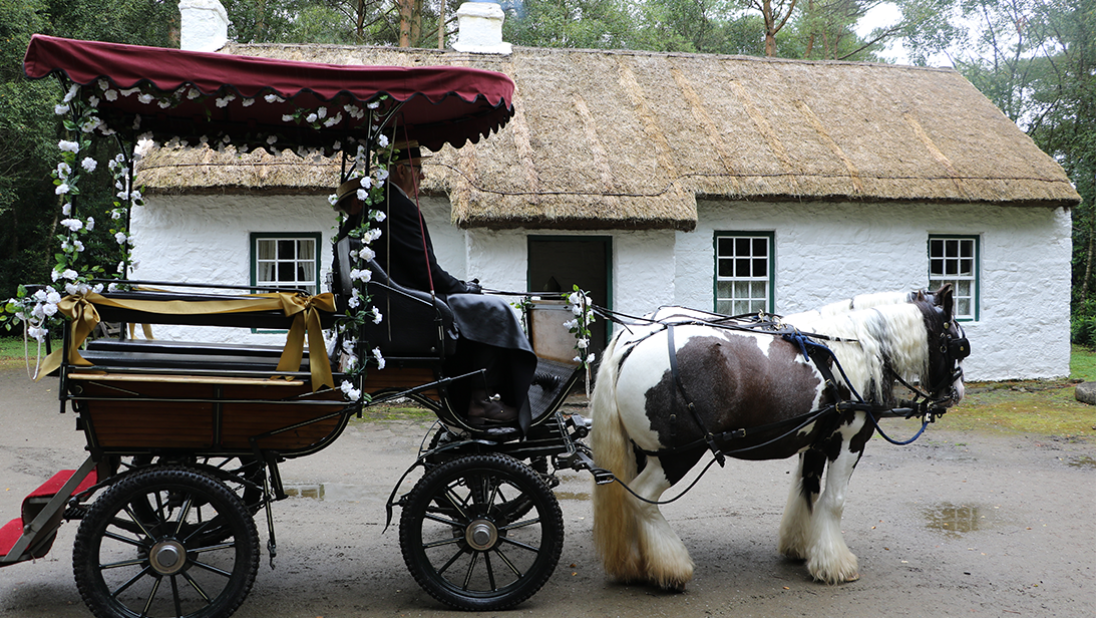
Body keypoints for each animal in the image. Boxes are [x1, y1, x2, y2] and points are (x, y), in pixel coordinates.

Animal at [591, 284, 968, 587]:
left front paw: (801, 547)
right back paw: (670, 567)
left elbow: (807, 490)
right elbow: (834, 501)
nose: (957, 393)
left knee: (630, 499)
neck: (855, 348)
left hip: (645, 452)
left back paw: (638, 564)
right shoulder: (850, 439)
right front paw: (835, 564)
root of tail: (632, 339)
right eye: (958, 345)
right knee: (641, 499)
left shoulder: (816, 442)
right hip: (677, 455)